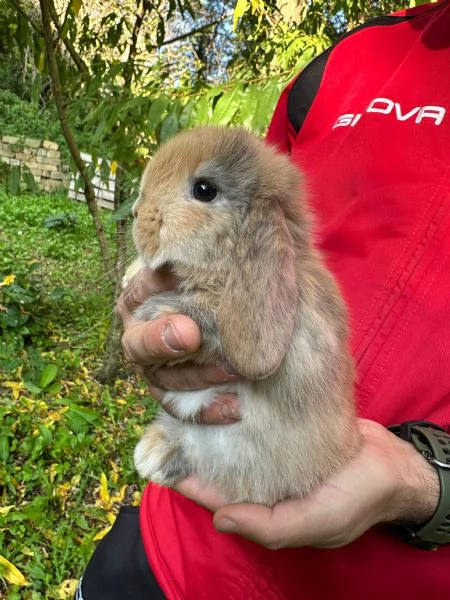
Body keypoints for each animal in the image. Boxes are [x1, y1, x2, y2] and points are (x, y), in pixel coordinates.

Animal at [128, 126, 360, 506]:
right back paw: (153, 454)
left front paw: (156, 312)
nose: (136, 211)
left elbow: (206, 319)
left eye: (204, 190)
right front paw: (131, 275)